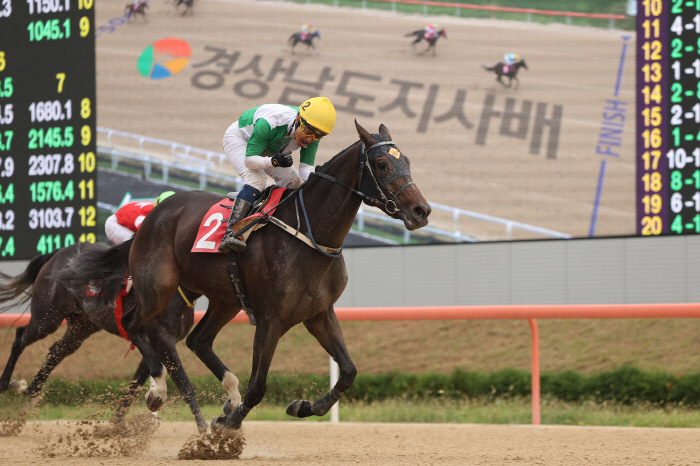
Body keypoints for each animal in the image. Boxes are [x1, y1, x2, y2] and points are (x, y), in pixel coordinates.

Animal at [0, 246, 208, 432]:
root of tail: (57, 254)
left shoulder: (154, 343)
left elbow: (137, 380)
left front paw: (120, 420)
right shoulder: (162, 340)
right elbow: (183, 384)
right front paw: (202, 426)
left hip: (81, 326)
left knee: (56, 351)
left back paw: (29, 389)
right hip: (47, 317)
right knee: (20, 337)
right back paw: (6, 383)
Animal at [54, 122, 430, 432]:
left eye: (408, 161)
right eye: (382, 164)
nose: (421, 211)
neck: (308, 236)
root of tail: (156, 211)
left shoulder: (319, 314)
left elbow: (348, 372)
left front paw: (302, 406)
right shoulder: (270, 319)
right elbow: (259, 386)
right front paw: (228, 423)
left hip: (225, 299)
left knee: (198, 340)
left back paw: (225, 394)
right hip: (157, 285)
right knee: (134, 323)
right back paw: (158, 390)